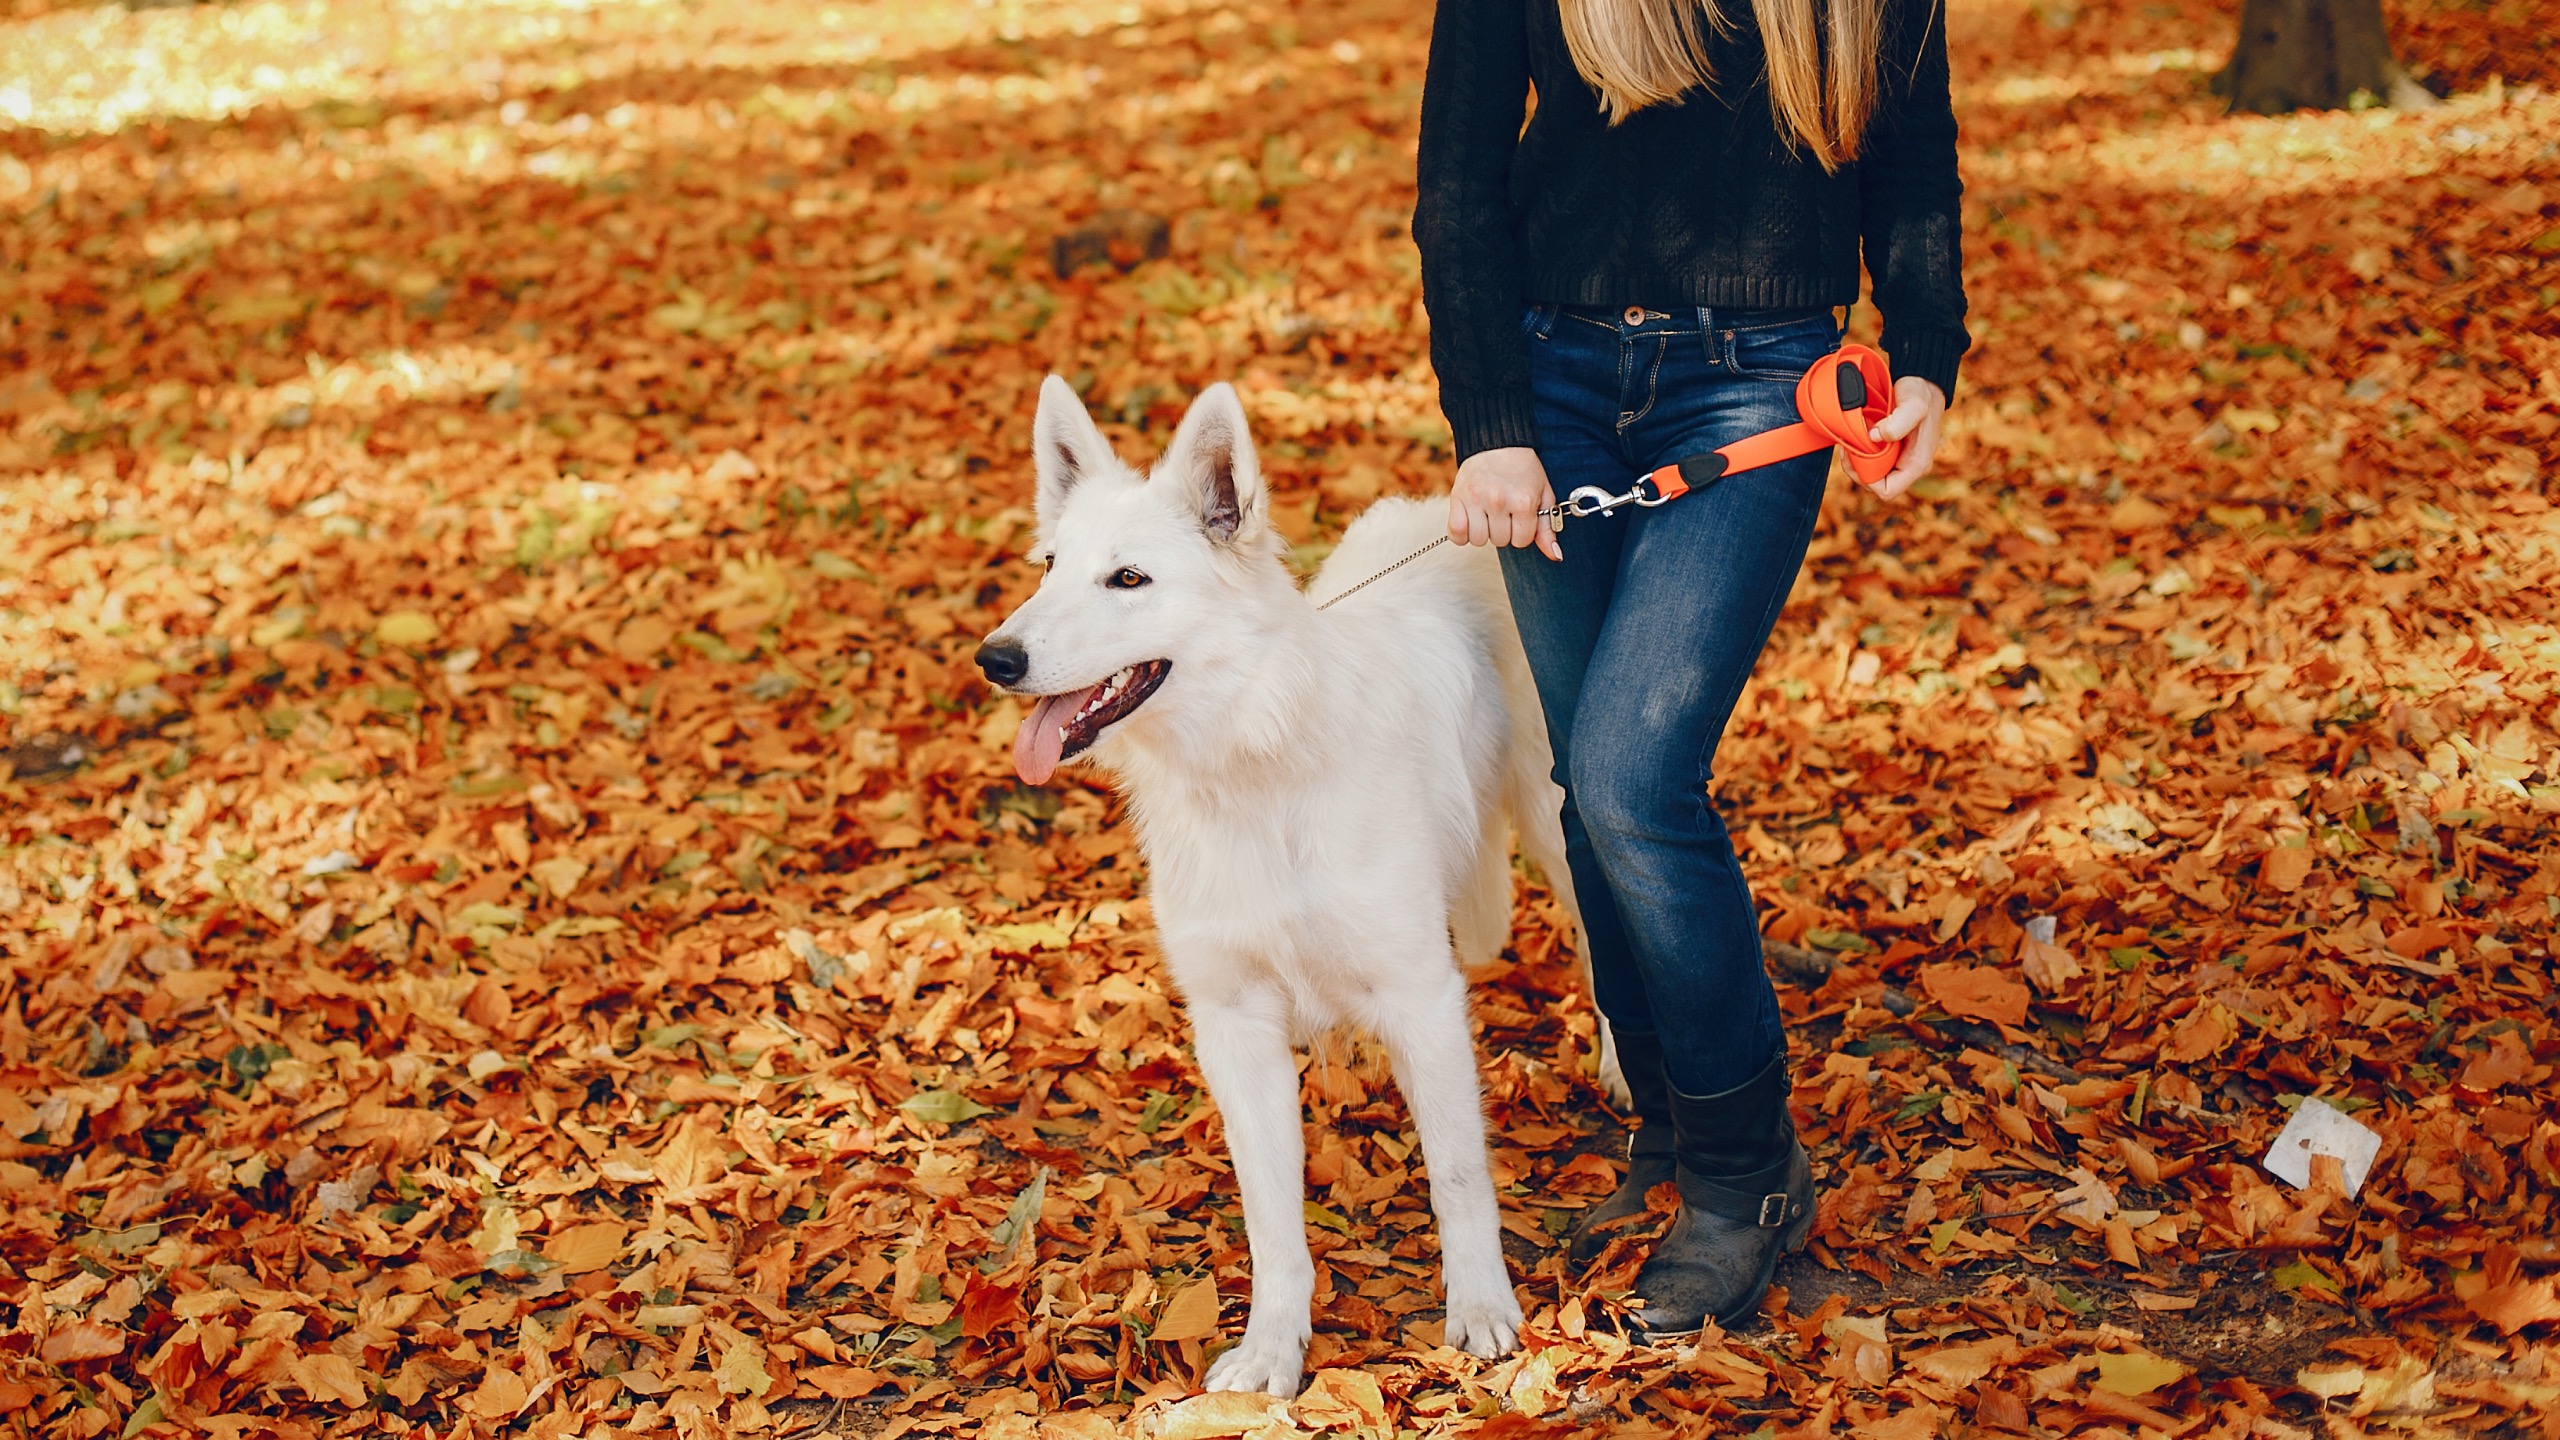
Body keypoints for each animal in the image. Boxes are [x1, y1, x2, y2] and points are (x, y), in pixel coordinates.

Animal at [972, 376, 1576, 1383]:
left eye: (1127, 580)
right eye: (1049, 567)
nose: (996, 659)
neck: (1251, 764)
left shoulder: (1422, 997)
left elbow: (1458, 1175)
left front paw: (1482, 1311)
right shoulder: (1235, 1028)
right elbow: (1272, 1219)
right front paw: (1270, 1357)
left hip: (1567, 828)